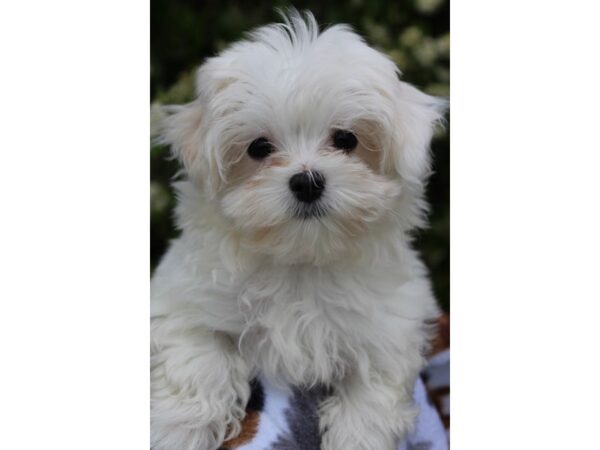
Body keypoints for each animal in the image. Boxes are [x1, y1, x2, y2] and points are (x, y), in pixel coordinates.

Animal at [152, 9, 448, 450]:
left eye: (346, 139)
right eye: (259, 148)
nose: (307, 182)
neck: (302, 260)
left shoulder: (392, 326)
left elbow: (373, 395)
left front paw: (356, 437)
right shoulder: (183, 300)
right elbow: (198, 361)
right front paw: (178, 429)